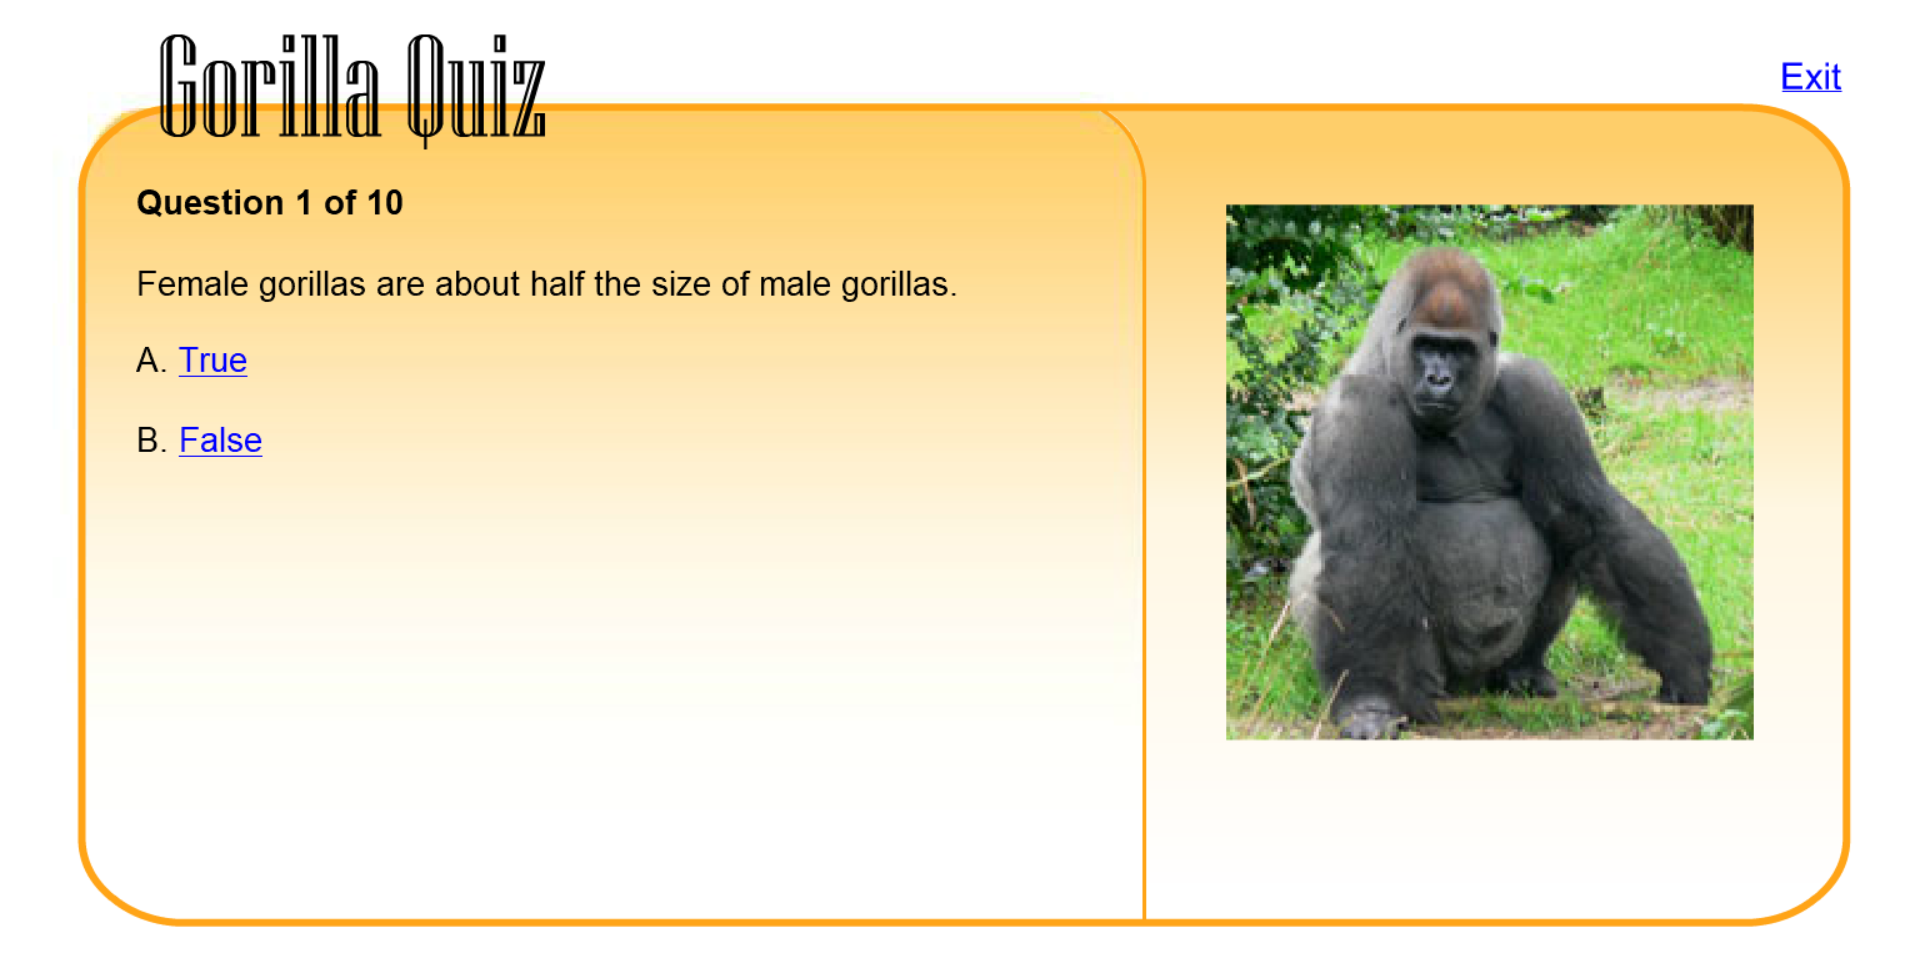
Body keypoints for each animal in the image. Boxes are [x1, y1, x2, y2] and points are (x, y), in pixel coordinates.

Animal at [1286, 249, 1713, 739]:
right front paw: (1368, 702)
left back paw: (1522, 672)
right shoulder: (1356, 409)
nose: (1438, 378)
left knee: (1561, 532)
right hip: (1438, 677)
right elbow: (1366, 547)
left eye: (1459, 350)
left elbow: (1586, 513)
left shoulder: (1537, 387)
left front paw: (1683, 659)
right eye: (1425, 345)